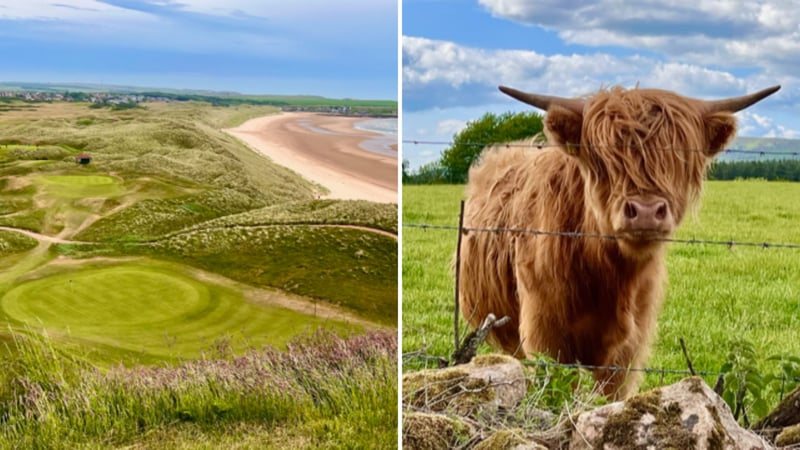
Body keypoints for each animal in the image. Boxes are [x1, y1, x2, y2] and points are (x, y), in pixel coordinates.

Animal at [460, 83, 780, 398]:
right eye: (603, 160)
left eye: (678, 158)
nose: (646, 212)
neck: (606, 277)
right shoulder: (545, 336)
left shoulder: (628, 349)